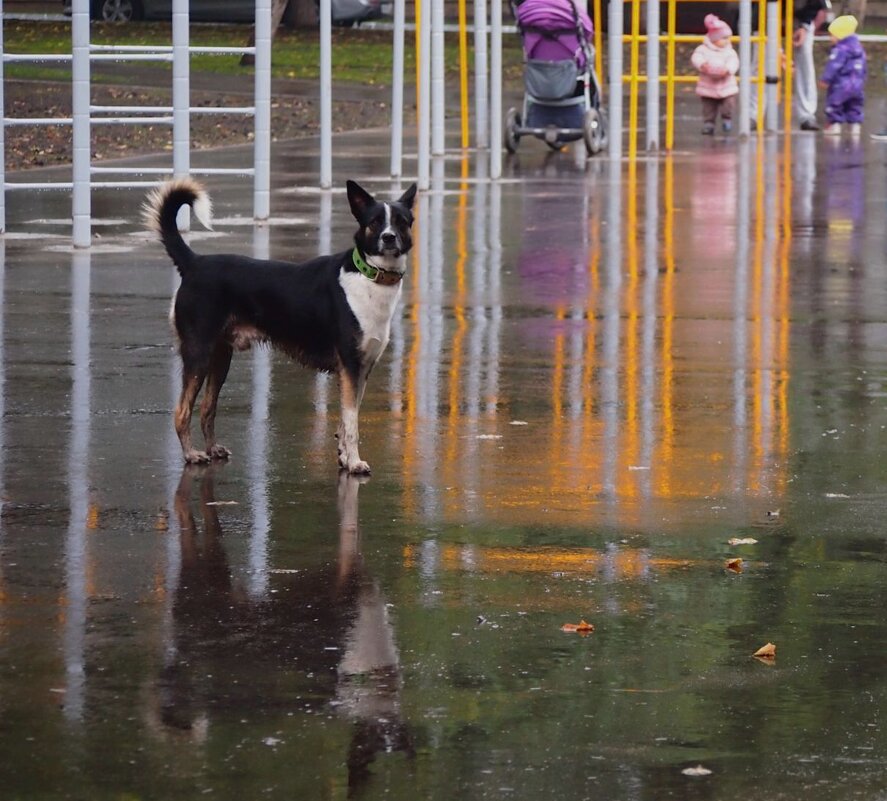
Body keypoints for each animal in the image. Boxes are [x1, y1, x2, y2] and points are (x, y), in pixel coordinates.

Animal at [147, 178, 420, 472]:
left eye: (401, 221)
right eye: (375, 222)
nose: (389, 237)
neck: (368, 276)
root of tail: (194, 262)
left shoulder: (362, 369)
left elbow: (347, 420)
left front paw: (345, 457)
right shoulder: (350, 366)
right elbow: (351, 424)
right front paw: (354, 462)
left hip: (220, 356)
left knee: (208, 408)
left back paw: (213, 449)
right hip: (198, 354)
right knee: (182, 411)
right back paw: (191, 455)